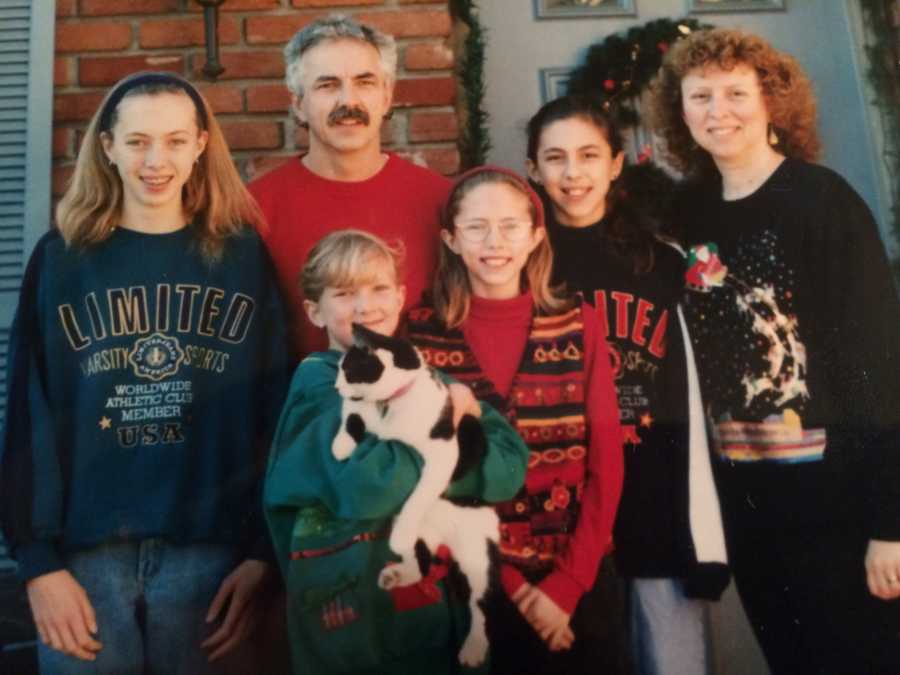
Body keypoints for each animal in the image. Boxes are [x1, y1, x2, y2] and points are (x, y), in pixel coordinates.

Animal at [332, 324, 500, 668]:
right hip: (420, 535)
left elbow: (420, 495)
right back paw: (398, 573)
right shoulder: (361, 408)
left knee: (480, 605)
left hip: (479, 554)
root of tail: (444, 543)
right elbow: (353, 414)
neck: (391, 403)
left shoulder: (444, 450)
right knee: (419, 561)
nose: (335, 385)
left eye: (347, 369)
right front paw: (341, 444)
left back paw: (474, 647)